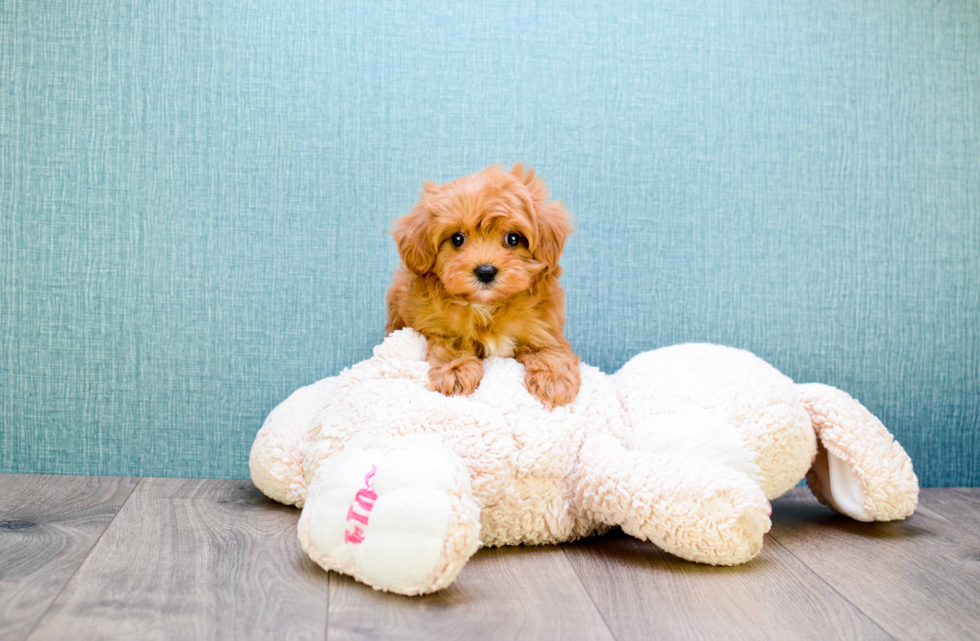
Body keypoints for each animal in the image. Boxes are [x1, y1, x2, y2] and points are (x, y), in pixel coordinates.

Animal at [384, 162, 580, 408]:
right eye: (457, 239)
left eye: (513, 239)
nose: (485, 271)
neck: (487, 306)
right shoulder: (435, 326)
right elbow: (451, 344)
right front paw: (455, 371)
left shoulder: (544, 327)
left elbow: (551, 350)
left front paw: (554, 380)